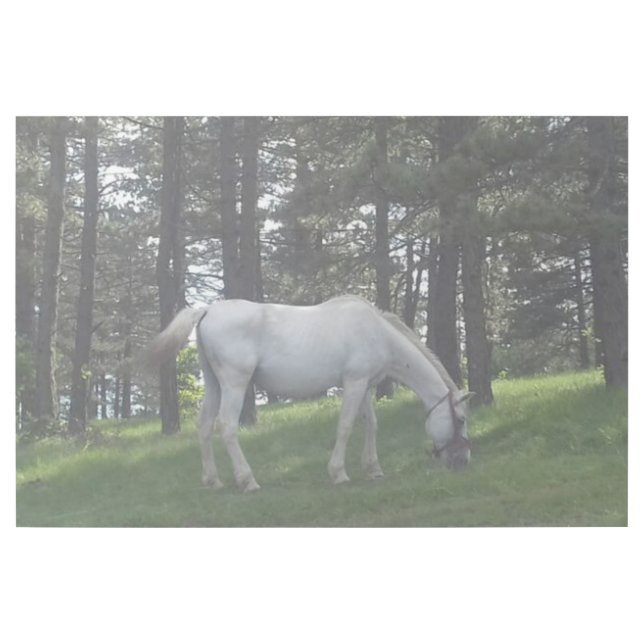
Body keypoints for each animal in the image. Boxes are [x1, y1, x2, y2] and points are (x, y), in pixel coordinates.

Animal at [143, 295, 472, 492]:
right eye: (462, 420)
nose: (463, 462)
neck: (377, 333)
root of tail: (207, 309)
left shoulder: (364, 385)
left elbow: (371, 424)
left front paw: (373, 468)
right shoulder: (354, 383)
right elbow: (346, 426)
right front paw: (339, 473)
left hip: (213, 384)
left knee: (204, 426)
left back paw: (213, 481)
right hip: (234, 384)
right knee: (226, 427)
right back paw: (248, 480)